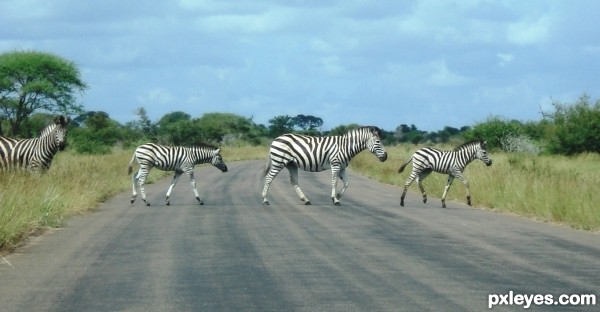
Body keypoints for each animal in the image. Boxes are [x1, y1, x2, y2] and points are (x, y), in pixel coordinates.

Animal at [262, 125, 390, 206]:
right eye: (378, 142)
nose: (385, 157)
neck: (346, 147)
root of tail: (276, 139)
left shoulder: (342, 167)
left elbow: (347, 183)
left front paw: (338, 196)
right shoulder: (335, 164)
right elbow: (335, 181)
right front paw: (335, 199)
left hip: (291, 164)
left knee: (294, 182)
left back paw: (306, 200)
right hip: (279, 162)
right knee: (268, 178)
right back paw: (265, 200)